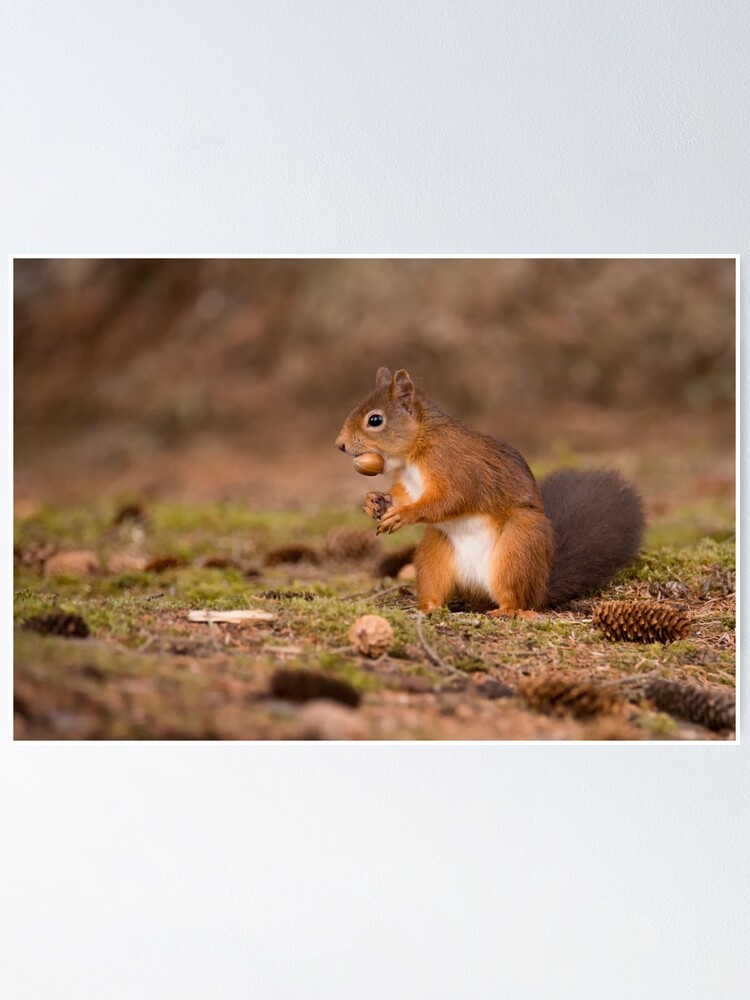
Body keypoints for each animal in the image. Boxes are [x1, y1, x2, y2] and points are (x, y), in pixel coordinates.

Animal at [335, 367, 645, 618]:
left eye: (375, 420)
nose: (340, 445)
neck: (416, 452)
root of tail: (540, 587)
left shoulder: (456, 469)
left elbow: (450, 500)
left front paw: (404, 514)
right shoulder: (410, 483)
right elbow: (403, 494)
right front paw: (374, 501)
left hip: (519, 546)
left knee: (518, 598)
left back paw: (509, 611)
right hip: (435, 551)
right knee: (436, 584)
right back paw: (427, 607)